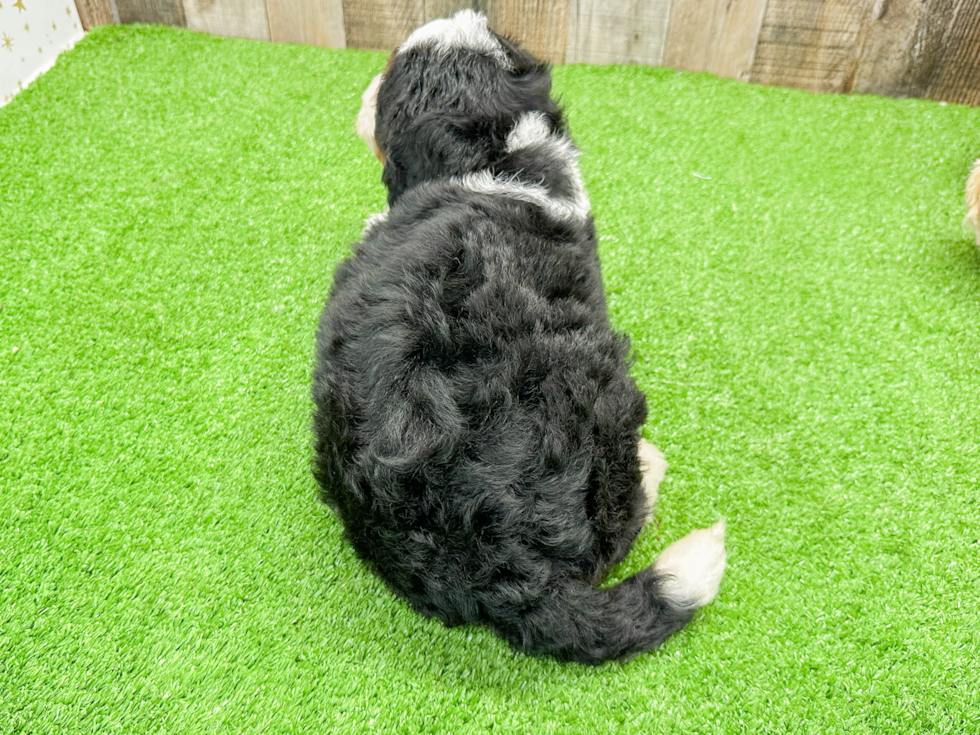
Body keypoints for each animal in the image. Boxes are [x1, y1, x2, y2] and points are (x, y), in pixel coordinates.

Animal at [310, 10, 724, 668]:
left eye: (392, 67)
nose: (366, 89)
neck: (496, 155)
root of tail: (509, 576)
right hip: (607, 395)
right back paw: (651, 466)